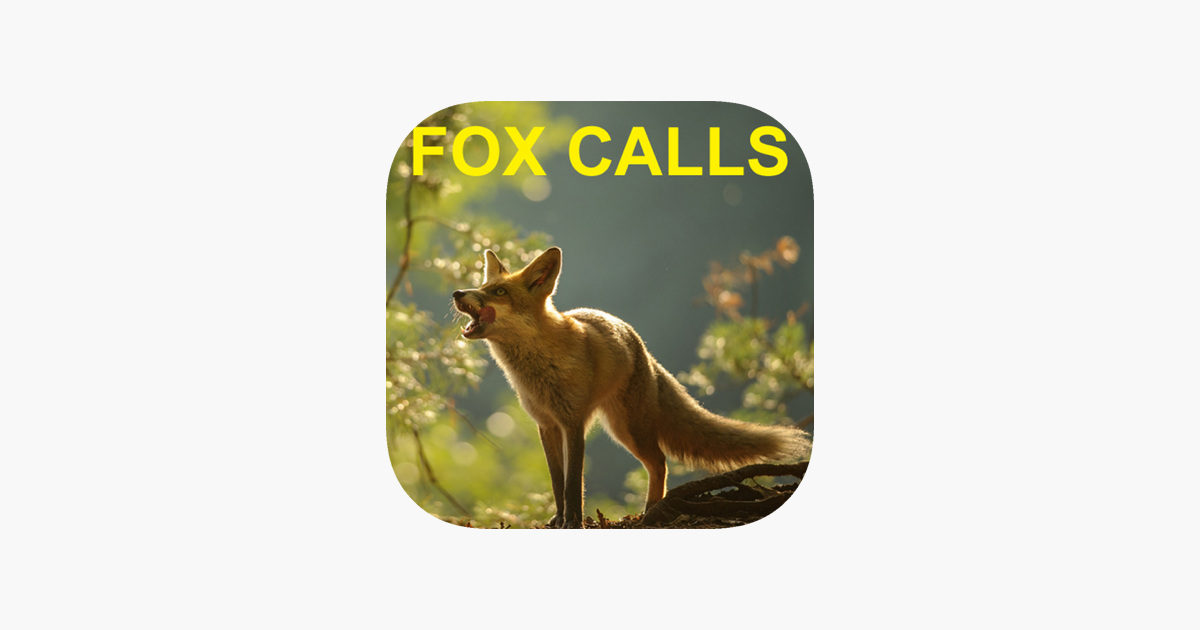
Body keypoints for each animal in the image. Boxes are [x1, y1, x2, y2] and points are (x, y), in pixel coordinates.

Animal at [451, 247, 811, 528]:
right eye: (483, 286)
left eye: (499, 293)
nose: (456, 294)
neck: (538, 368)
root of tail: (642, 347)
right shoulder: (546, 425)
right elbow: (557, 482)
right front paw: (557, 519)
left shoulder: (574, 422)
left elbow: (573, 483)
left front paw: (573, 521)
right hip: (622, 428)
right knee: (657, 461)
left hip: (628, 428)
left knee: (660, 461)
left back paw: (653, 511)